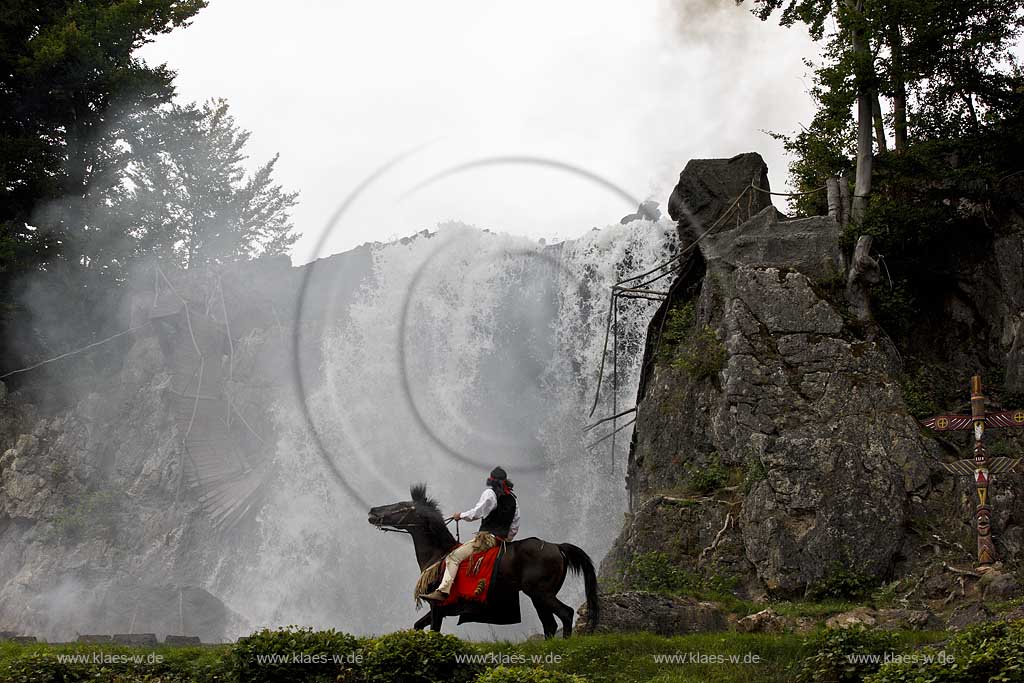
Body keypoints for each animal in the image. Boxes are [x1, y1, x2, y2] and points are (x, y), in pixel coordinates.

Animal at [368, 483, 598, 638]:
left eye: (400, 505)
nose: (372, 511)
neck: (438, 554)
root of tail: (557, 547)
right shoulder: (438, 610)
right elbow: (417, 626)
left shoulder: (437, 607)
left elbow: (433, 632)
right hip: (538, 596)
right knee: (550, 624)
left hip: (542, 593)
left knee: (566, 614)